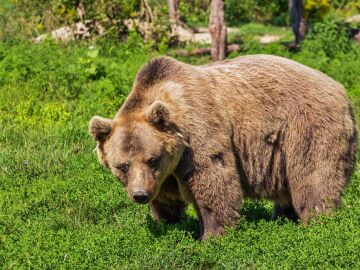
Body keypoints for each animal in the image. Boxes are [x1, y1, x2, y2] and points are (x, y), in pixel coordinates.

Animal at [89, 53, 358, 239]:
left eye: (151, 159)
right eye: (122, 166)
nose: (140, 195)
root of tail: (341, 90)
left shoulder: (198, 133)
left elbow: (213, 179)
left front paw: (212, 235)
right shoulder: (165, 172)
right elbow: (166, 197)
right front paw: (167, 223)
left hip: (308, 128)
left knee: (314, 178)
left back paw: (318, 222)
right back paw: (283, 217)